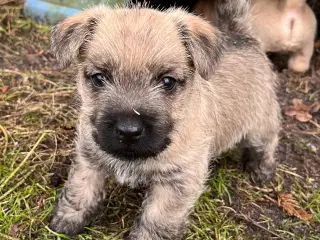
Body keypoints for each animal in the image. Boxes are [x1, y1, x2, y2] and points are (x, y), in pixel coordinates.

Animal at [48, 0, 278, 238]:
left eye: (167, 82)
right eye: (99, 78)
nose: (128, 130)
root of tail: (242, 35)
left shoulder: (176, 183)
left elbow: (156, 221)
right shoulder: (89, 158)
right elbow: (80, 190)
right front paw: (67, 221)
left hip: (259, 125)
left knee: (267, 142)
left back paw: (262, 169)